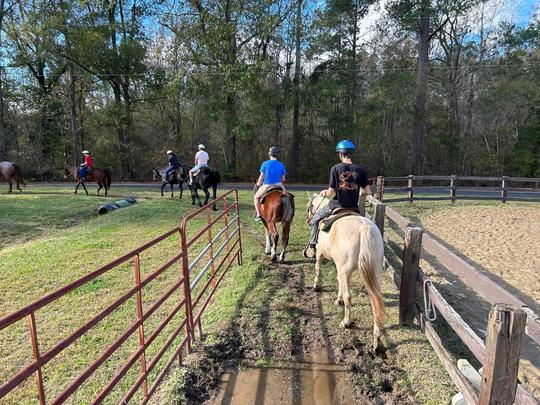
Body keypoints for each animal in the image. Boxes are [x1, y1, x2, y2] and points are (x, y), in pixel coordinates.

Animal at [306, 193, 386, 350]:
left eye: (309, 207)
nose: (308, 220)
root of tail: (364, 227)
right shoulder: (341, 269)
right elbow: (339, 283)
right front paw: (338, 299)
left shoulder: (321, 254)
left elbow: (318, 268)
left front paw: (316, 286)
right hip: (374, 273)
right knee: (375, 301)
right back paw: (376, 341)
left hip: (346, 270)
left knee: (349, 296)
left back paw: (346, 322)